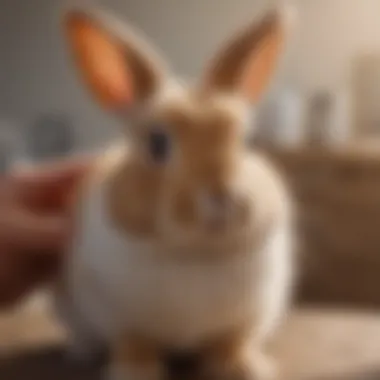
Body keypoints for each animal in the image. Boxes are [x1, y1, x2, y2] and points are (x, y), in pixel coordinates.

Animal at [53, 2, 296, 380]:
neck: (193, 253)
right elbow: (134, 344)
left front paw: (244, 368)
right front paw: (134, 373)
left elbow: (231, 341)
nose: (223, 198)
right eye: (157, 143)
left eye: (246, 141)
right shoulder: (120, 319)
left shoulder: (246, 317)